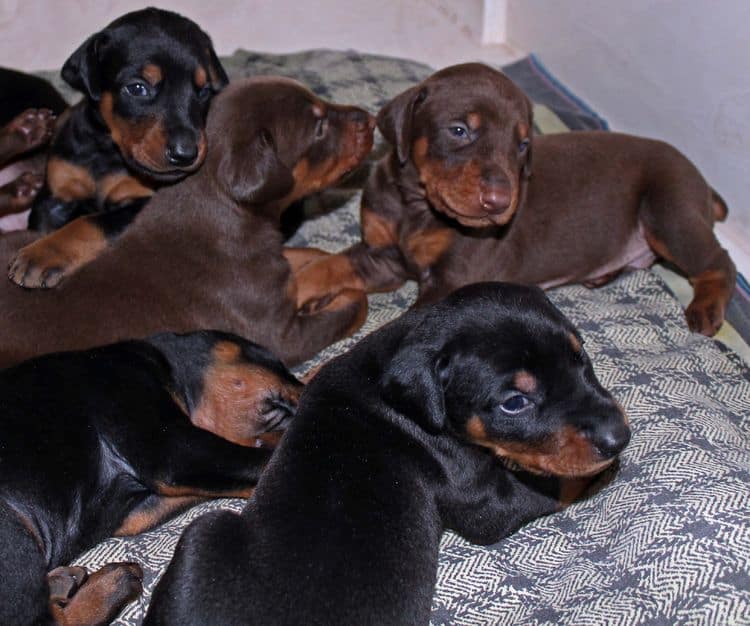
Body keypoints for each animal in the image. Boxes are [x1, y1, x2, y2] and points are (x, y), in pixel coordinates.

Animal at [0, 78, 376, 370]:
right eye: (319, 127)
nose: (370, 118)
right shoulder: (281, 335)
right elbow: (355, 303)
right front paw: (331, 296)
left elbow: (305, 256)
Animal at [0, 330, 300, 624]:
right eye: (281, 367)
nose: (307, 383)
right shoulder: (172, 450)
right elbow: (263, 460)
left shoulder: (136, 509)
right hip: (12, 529)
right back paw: (111, 585)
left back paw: (62, 582)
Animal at [7, 7, 228, 288]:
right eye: (138, 88)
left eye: (204, 91)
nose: (185, 154)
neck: (108, 150)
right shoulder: (55, 198)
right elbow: (41, 227)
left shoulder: (141, 203)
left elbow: (90, 222)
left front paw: (42, 255)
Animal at [144, 282, 632, 624]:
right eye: (514, 402)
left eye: (581, 356)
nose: (620, 437)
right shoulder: (484, 500)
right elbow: (548, 489)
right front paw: (595, 473)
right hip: (203, 532)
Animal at [296, 62, 740, 336]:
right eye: (459, 130)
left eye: (523, 144)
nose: (500, 200)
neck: (416, 205)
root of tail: (702, 182)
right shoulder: (381, 256)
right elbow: (325, 268)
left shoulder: (448, 282)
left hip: (669, 210)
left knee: (720, 260)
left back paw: (706, 308)